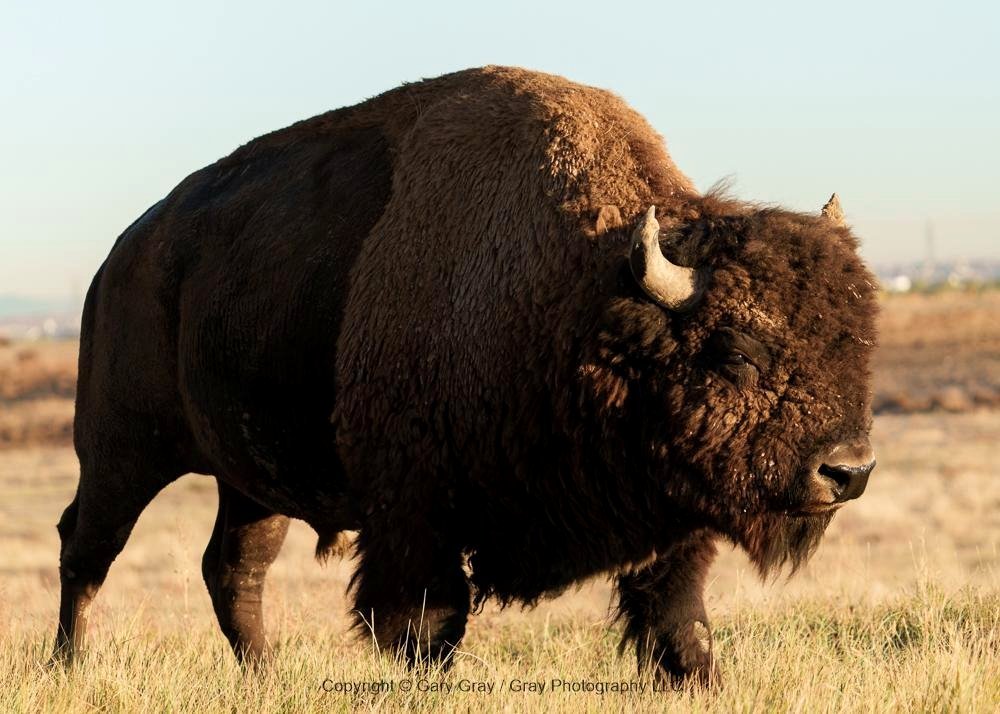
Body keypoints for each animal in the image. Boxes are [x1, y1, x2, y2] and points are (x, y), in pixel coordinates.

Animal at [52, 66, 877, 685]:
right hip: (121, 451)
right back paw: (68, 666)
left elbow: (676, 611)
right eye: (736, 349)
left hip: (250, 482)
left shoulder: (671, 517)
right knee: (86, 547)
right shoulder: (416, 514)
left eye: (857, 345)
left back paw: (265, 677)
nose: (848, 471)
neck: (582, 293)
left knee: (233, 570)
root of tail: (122, 257)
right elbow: (427, 624)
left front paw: (696, 679)